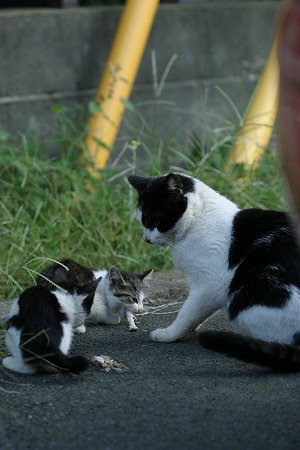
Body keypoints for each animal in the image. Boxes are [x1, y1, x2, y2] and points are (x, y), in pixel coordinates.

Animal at [128, 172, 300, 372]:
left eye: (154, 222)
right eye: (142, 223)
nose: (146, 239)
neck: (198, 220)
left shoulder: (209, 286)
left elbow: (187, 312)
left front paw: (169, 333)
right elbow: (197, 312)